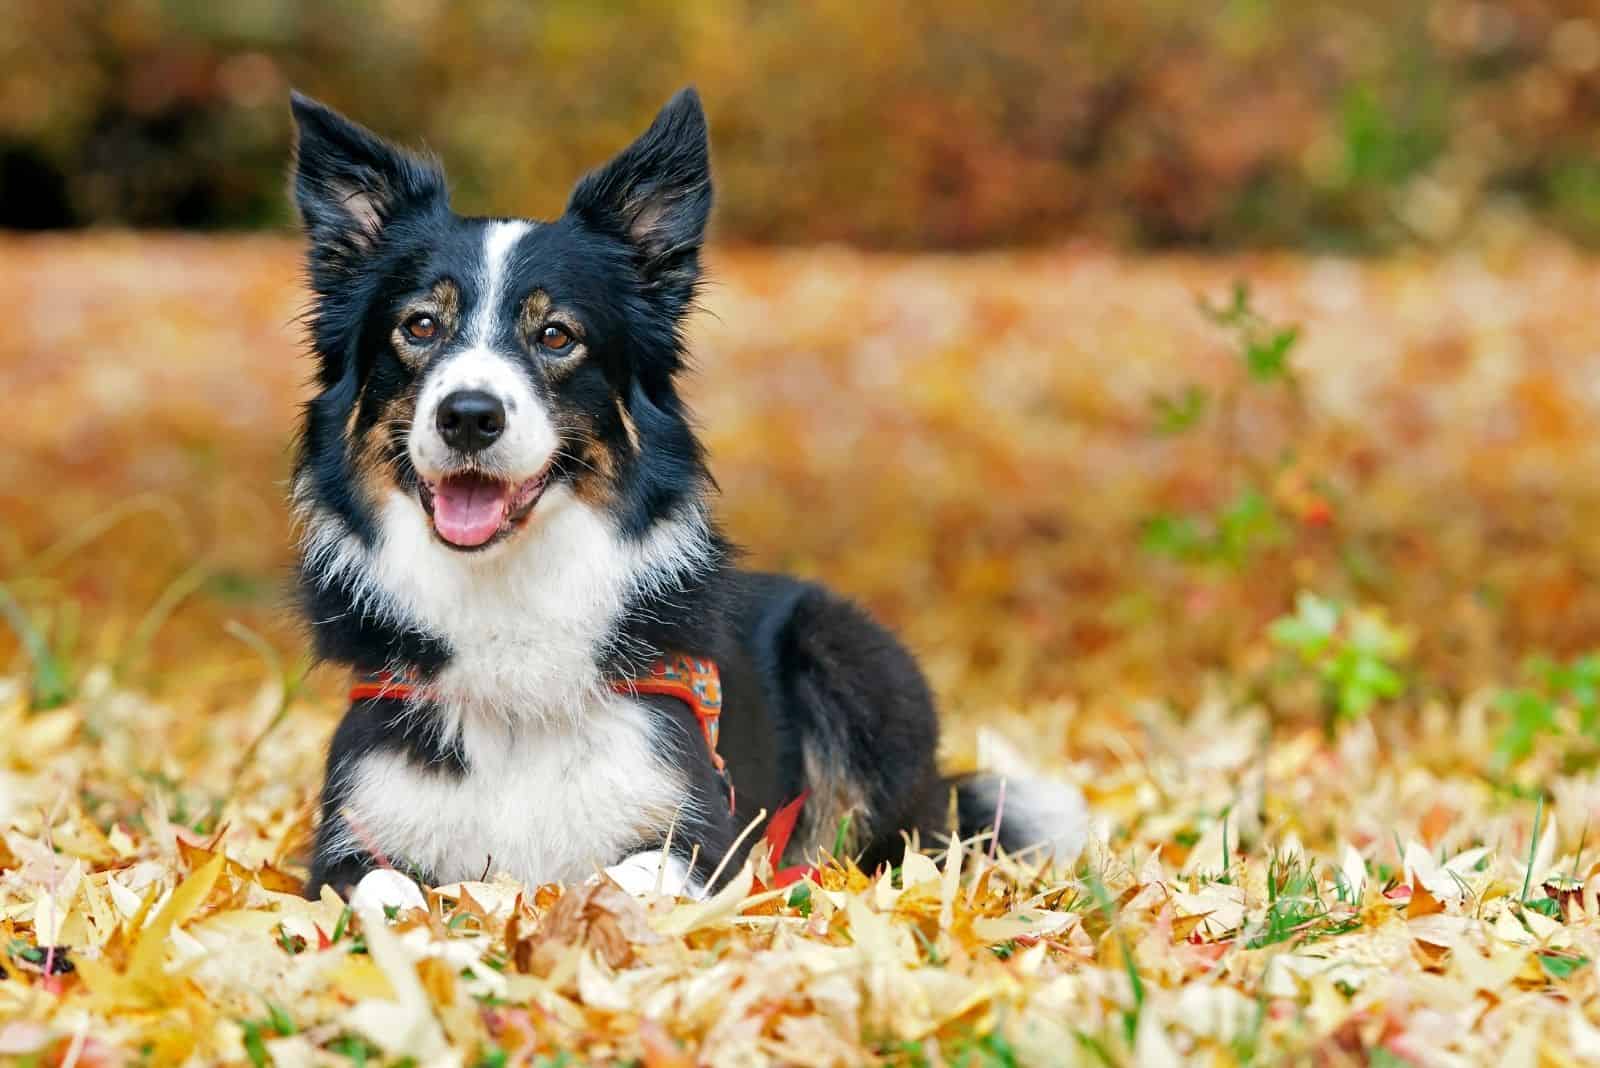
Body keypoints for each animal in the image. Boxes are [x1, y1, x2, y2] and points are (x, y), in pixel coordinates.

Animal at [288, 87, 1088, 901]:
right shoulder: (348, 842)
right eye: (420, 325)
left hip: (847, 654)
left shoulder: (699, 834)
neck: (505, 598)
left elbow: (620, 882)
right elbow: (389, 897)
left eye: (556, 335)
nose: (470, 416)